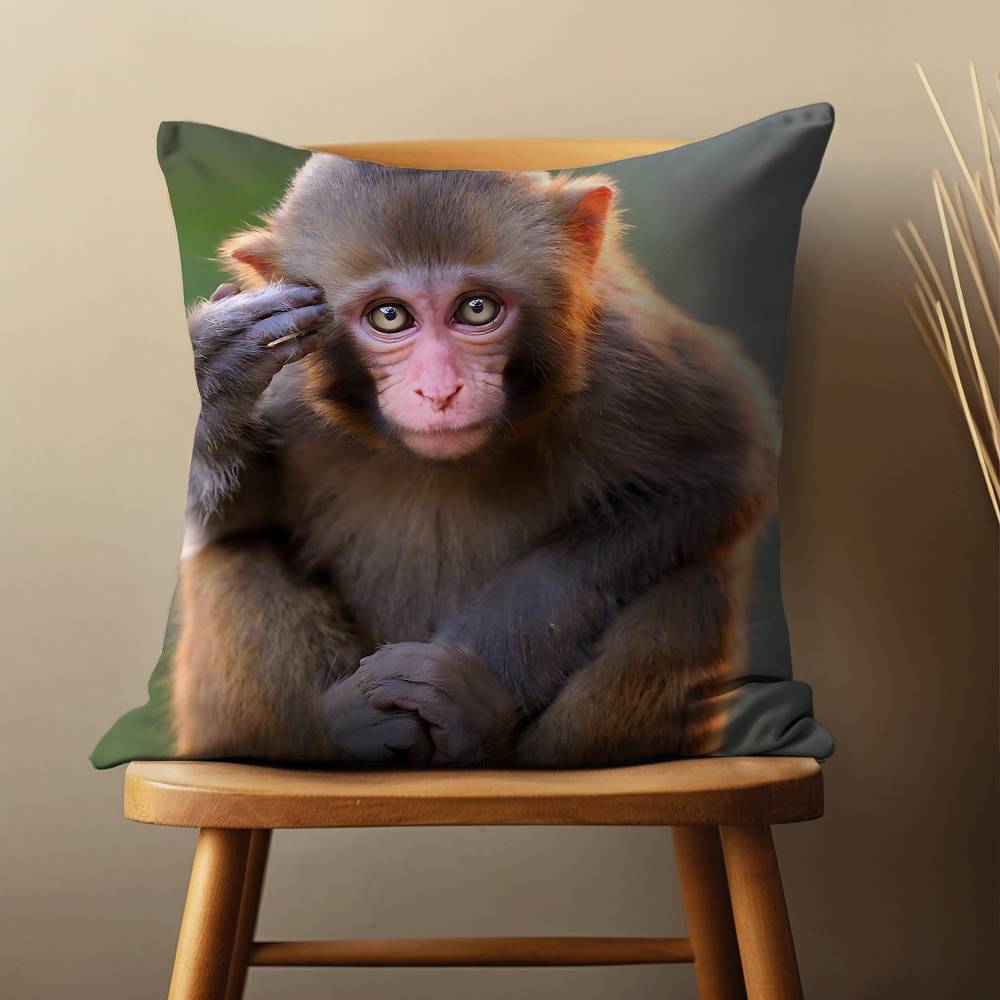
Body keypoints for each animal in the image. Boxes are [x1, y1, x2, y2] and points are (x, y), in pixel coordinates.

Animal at [171, 153, 779, 767]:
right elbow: (233, 517)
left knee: (691, 585)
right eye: (389, 316)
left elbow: (719, 477)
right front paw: (217, 375)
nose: (440, 391)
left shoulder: (633, 361)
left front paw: (463, 688)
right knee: (237, 558)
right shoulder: (289, 385)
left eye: (477, 308)